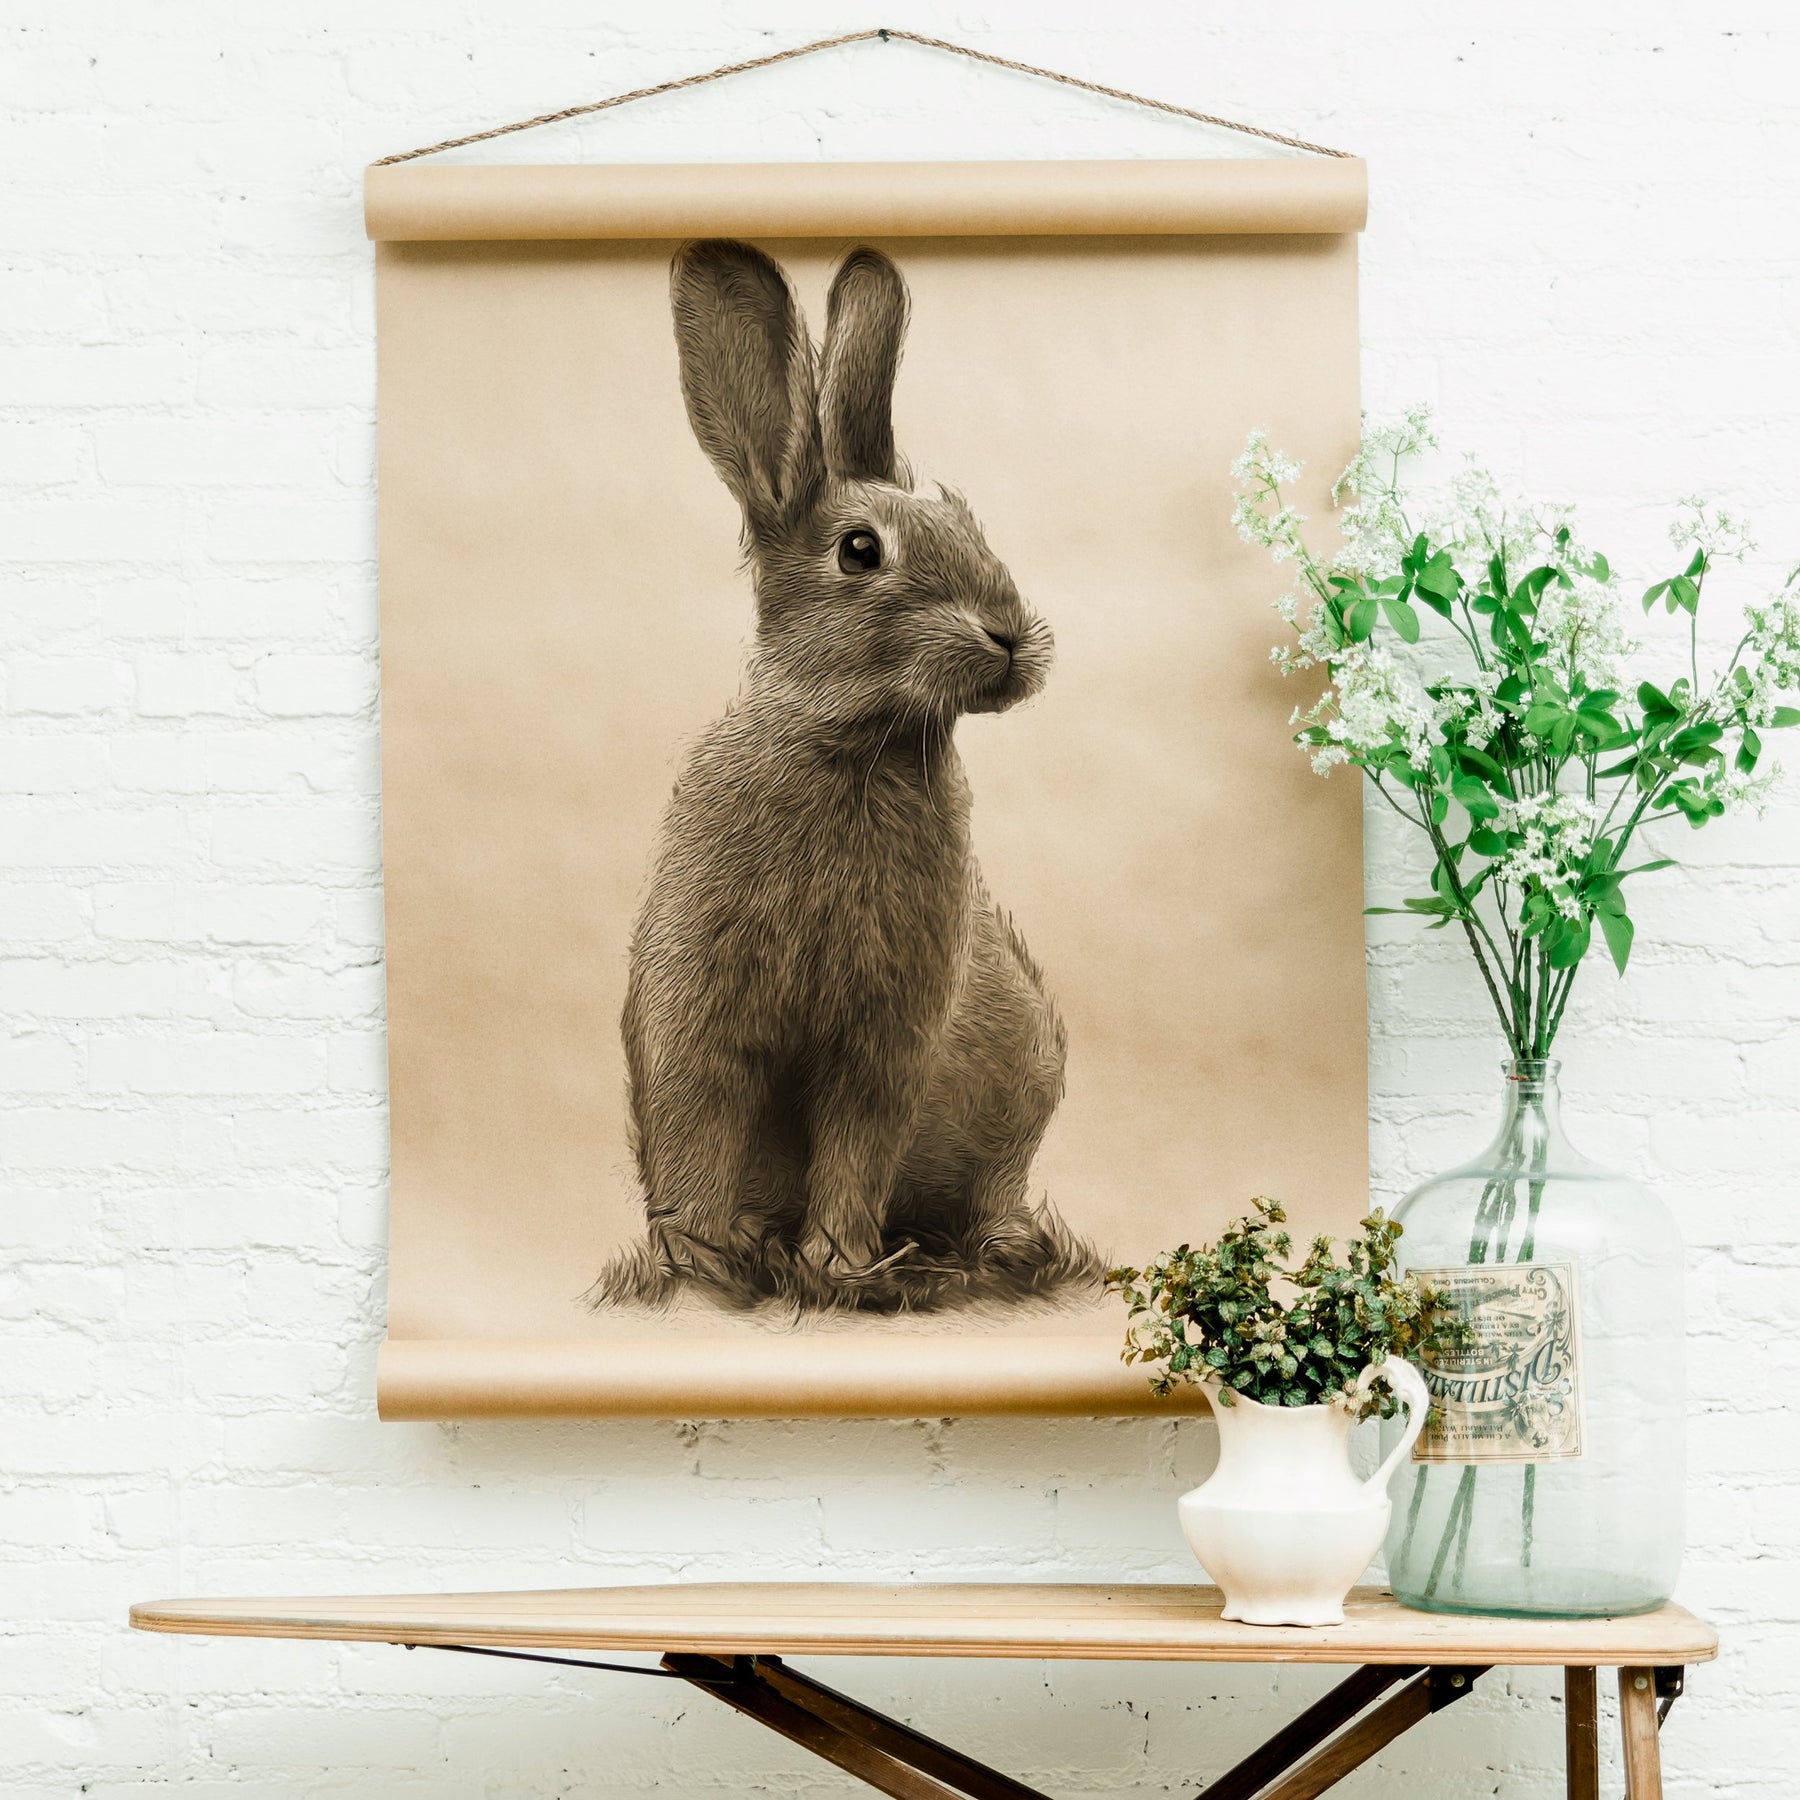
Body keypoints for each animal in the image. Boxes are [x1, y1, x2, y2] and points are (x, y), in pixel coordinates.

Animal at [594, 239, 1100, 1314]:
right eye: (859, 550)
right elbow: (697, 1129)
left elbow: (857, 1147)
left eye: (969, 520)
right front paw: (701, 1268)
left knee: (990, 1192)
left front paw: (833, 1265)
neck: (852, 743)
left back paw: (997, 1249)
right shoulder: (697, 1015)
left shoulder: (887, 1040)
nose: (1009, 636)